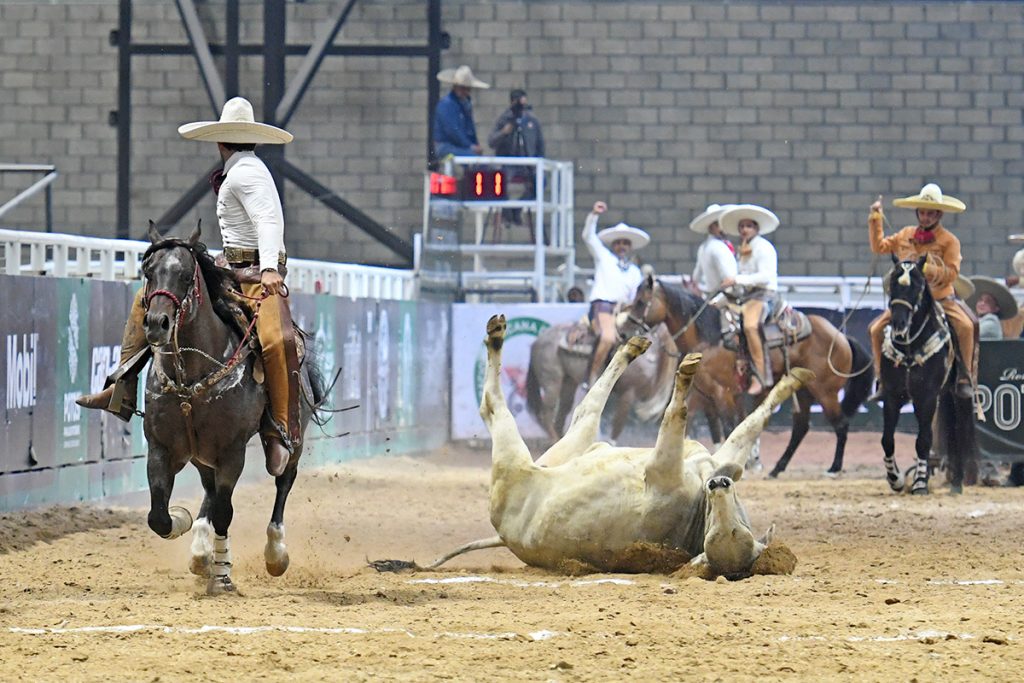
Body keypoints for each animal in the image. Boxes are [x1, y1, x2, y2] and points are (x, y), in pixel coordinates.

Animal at [140, 224, 323, 593]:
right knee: (209, 490)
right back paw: (199, 550)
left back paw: (275, 553)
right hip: (201, 453)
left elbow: (226, 512)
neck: (191, 378)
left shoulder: (231, 451)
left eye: (185, 276)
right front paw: (185, 523)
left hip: (292, 441)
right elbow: (159, 516)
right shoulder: (160, 447)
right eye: (148, 272)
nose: (156, 323)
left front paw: (222, 574)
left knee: (283, 481)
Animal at [528, 321, 679, 444]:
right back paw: (554, 440)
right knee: (547, 412)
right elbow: (618, 424)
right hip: (552, 383)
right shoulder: (628, 394)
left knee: (563, 410)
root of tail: (538, 341)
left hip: (568, 381)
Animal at [618, 276, 876, 475]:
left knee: (840, 424)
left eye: (640, 302)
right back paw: (778, 468)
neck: (709, 338)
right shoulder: (702, 395)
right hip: (804, 392)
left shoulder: (722, 394)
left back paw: (834, 468)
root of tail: (841, 336)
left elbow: (729, 427)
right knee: (801, 427)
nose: (622, 332)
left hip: (825, 392)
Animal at [880, 253, 974, 493]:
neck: (910, 347)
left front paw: (920, 482)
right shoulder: (892, 396)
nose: (899, 323)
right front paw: (895, 479)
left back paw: (957, 483)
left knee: (957, 431)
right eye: (893, 283)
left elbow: (923, 440)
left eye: (917, 285)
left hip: (954, 395)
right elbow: (887, 439)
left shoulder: (928, 397)